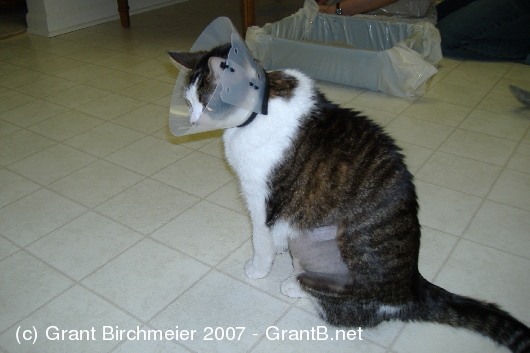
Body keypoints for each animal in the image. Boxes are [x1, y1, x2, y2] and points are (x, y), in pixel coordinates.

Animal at [168, 44, 528, 352]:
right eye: (188, 103)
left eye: (207, 103)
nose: (193, 121)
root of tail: (410, 288)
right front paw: (278, 248)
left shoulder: (260, 198)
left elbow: (261, 240)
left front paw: (259, 268)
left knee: (343, 312)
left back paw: (294, 284)